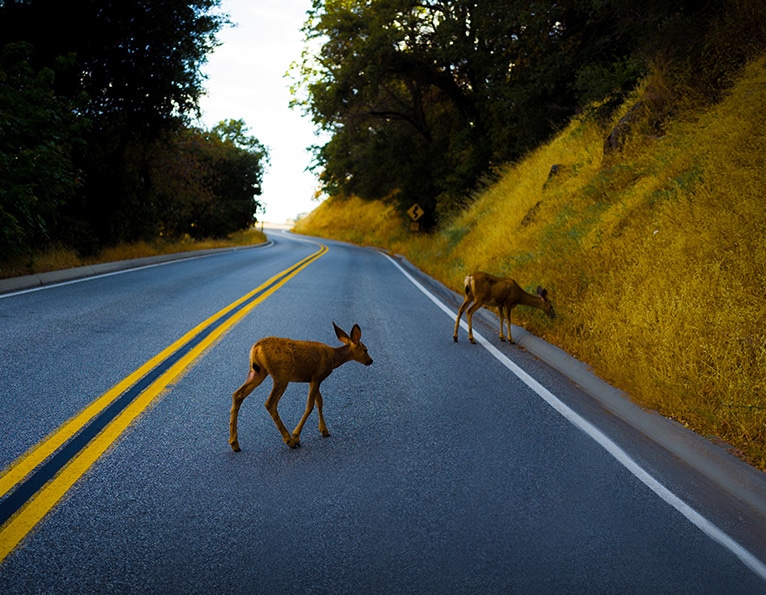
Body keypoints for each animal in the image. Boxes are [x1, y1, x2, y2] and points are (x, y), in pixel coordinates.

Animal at [230, 322, 374, 452]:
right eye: (365, 350)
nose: (370, 361)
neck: (333, 359)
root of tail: (256, 348)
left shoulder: (312, 379)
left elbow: (319, 402)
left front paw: (324, 430)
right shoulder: (317, 376)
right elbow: (310, 405)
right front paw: (296, 436)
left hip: (258, 372)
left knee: (237, 394)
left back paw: (234, 444)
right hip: (281, 375)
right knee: (270, 403)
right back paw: (289, 441)